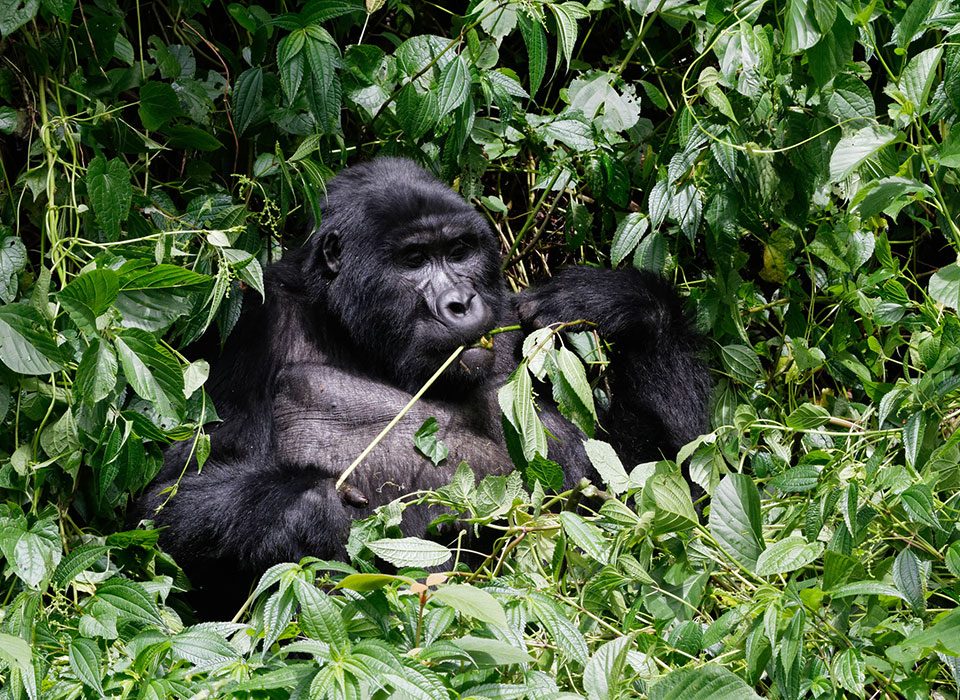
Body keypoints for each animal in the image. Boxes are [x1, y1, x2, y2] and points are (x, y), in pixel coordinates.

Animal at [131, 157, 708, 612]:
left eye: (459, 251)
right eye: (414, 260)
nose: (459, 303)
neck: (351, 331)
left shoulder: (515, 320)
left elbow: (666, 492)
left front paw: (620, 303)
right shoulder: (252, 325)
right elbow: (163, 503)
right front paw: (307, 509)